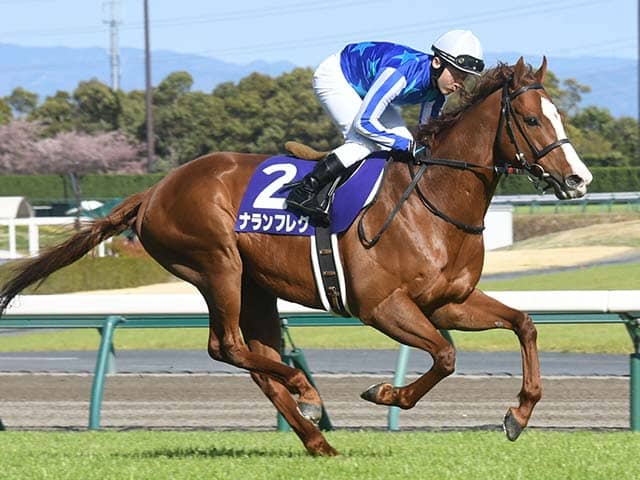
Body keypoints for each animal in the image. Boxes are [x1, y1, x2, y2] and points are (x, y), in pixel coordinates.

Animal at [0, 58, 592, 456]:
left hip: (254, 286)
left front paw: (518, 414)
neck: (432, 198)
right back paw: (307, 392)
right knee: (228, 346)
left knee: (253, 358)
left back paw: (315, 436)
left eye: (558, 116)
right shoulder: (381, 306)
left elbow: (523, 324)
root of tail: (154, 190)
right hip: (218, 265)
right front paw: (385, 393)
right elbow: (445, 356)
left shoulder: (448, 301)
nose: (579, 180)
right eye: (533, 121)